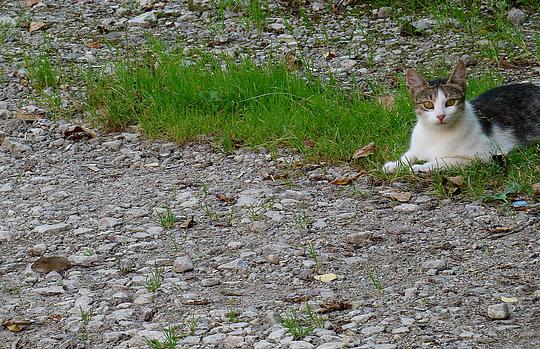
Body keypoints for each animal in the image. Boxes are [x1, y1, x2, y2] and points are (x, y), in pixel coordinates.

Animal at [384, 60, 540, 173]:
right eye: (428, 104)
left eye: (450, 102)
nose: (440, 116)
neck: (436, 134)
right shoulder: (418, 147)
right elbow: (410, 154)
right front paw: (395, 164)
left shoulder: (483, 156)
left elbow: (445, 160)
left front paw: (421, 167)